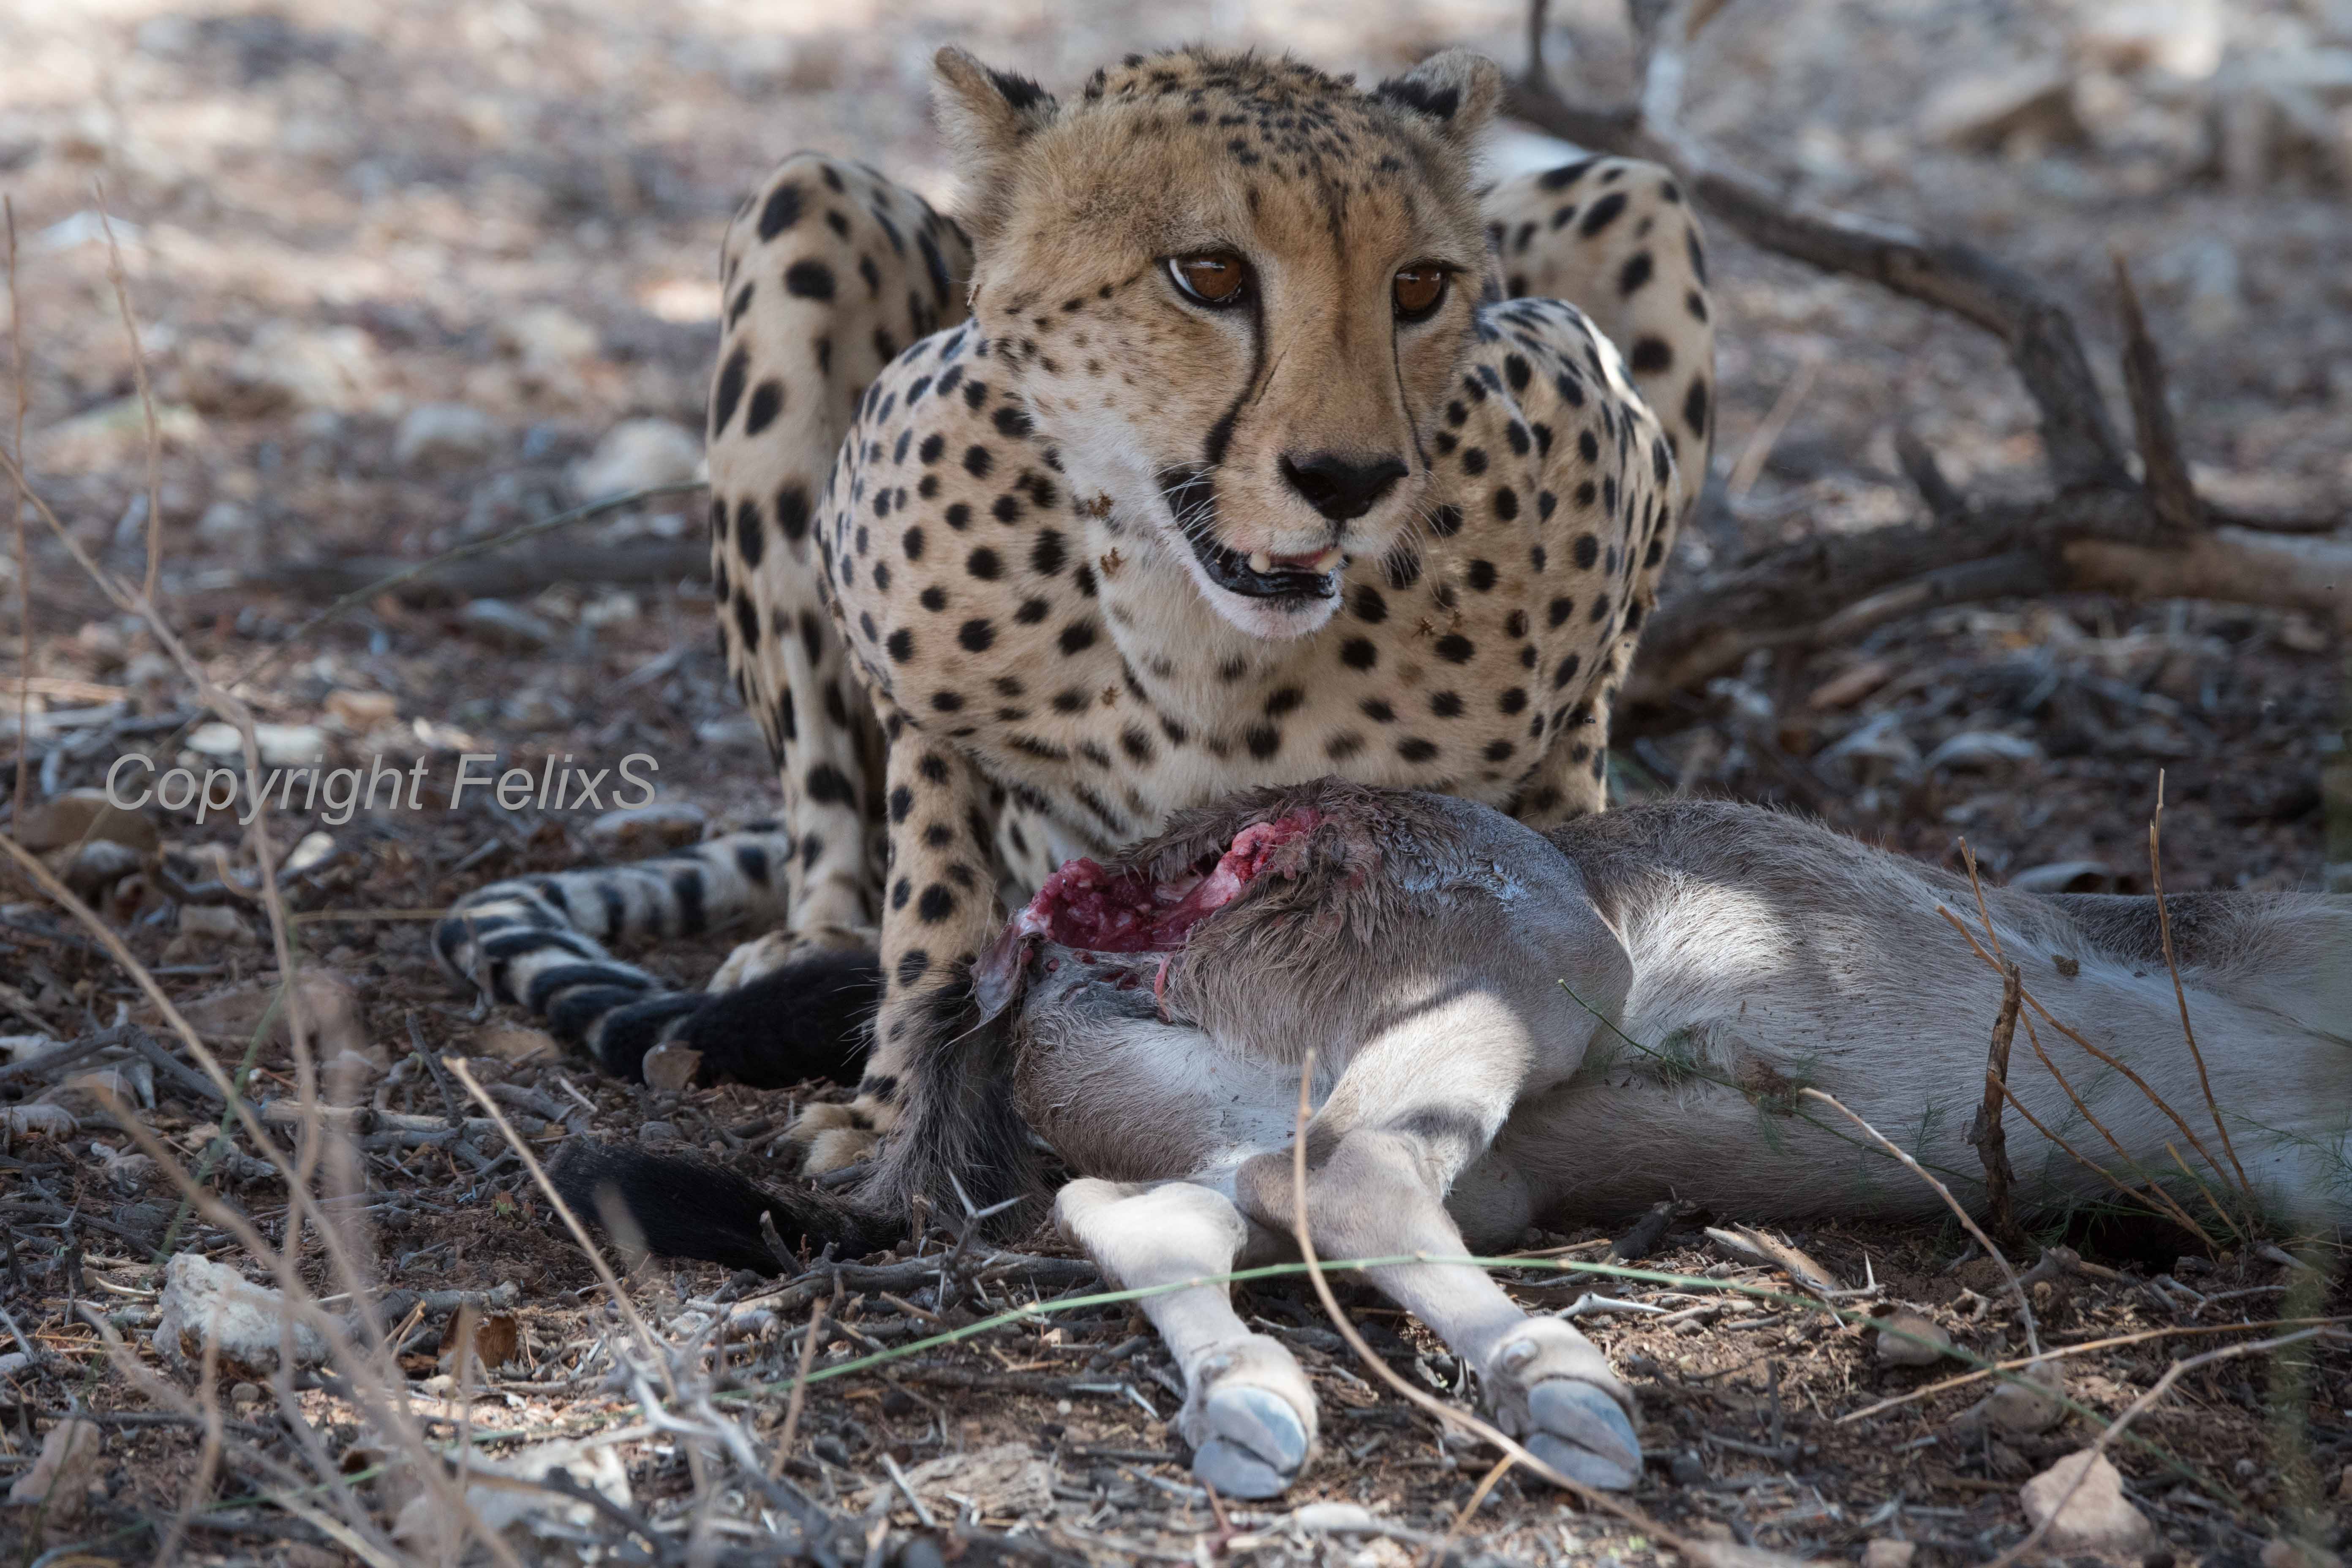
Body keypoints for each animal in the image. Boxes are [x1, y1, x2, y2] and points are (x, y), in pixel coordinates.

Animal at [437, 43, 1712, 1250]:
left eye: (1420, 286)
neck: (1196, 628)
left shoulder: (1599, 455)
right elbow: (933, 901)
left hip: (1634, 200)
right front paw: (894, 1110)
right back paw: (811, 937)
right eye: (1209, 274)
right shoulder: (906, 643)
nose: (1349, 481)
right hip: (808, 206)